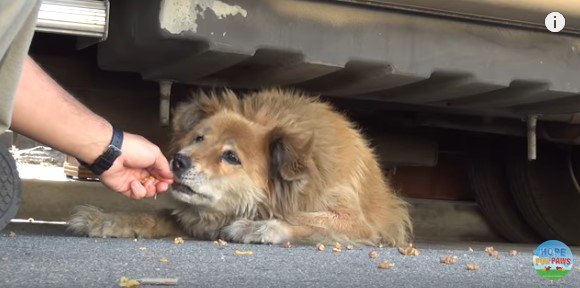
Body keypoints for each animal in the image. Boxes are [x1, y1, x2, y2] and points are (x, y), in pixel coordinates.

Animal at [69, 88, 412, 245]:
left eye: (231, 157)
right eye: (198, 138)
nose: (178, 160)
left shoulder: (356, 222)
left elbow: (303, 218)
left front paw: (257, 226)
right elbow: (157, 215)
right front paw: (108, 219)